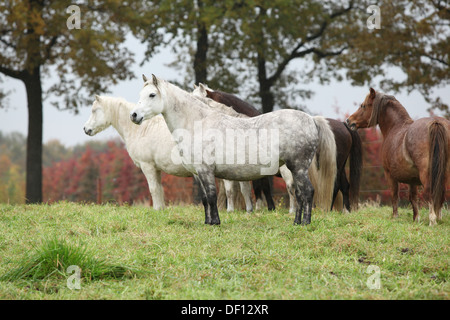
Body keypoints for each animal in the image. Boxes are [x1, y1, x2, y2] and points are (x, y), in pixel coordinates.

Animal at [128, 75, 336, 225]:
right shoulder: (198, 173)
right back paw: (296, 222)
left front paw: (215, 223)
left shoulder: (206, 170)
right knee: (300, 194)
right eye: (140, 94)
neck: (198, 123)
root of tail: (311, 119)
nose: (134, 115)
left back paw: (305, 223)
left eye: (152, 95)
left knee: (307, 192)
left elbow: (212, 196)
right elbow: (205, 198)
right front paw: (207, 222)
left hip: (298, 167)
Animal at [346, 86, 448, 224]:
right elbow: (413, 197)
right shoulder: (412, 179)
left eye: (363, 105)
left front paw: (395, 216)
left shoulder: (390, 175)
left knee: (431, 192)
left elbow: (394, 195)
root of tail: (436, 123)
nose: (349, 121)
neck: (395, 127)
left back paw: (433, 220)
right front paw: (416, 219)